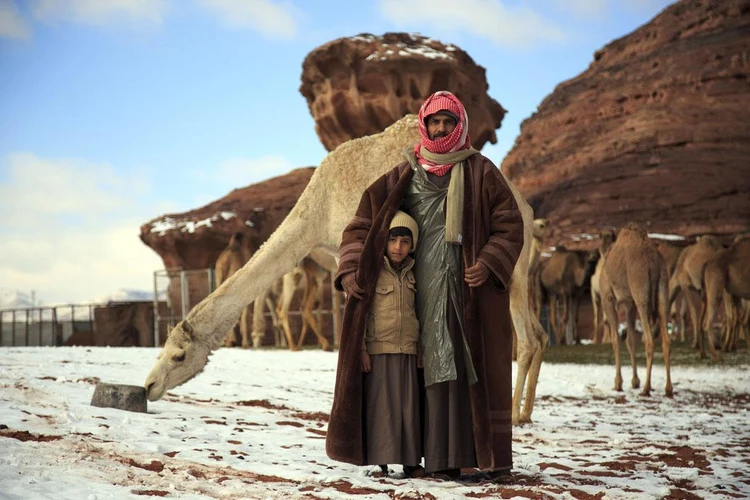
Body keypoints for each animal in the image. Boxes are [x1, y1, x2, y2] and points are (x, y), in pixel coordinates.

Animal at [143, 115, 548, 426]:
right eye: (162, 348)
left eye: (179, 355)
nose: (149, 386)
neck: (317, 213)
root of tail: (527, 213)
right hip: (520, 277)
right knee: (538, 334)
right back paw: (523, 413)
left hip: (503, 274)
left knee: (524, 339)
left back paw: (512, 417)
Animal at [600, 223, 672, 397]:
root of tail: (653, 260)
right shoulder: (629, 302)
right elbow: (631, 340)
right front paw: (634, 381)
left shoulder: (608, 297)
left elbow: (616, 340)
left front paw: (618, 383)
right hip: (663, 287)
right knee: (666, 338)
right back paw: (668, 388)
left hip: (640, 290)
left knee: (649, 339)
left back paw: (646, 388)